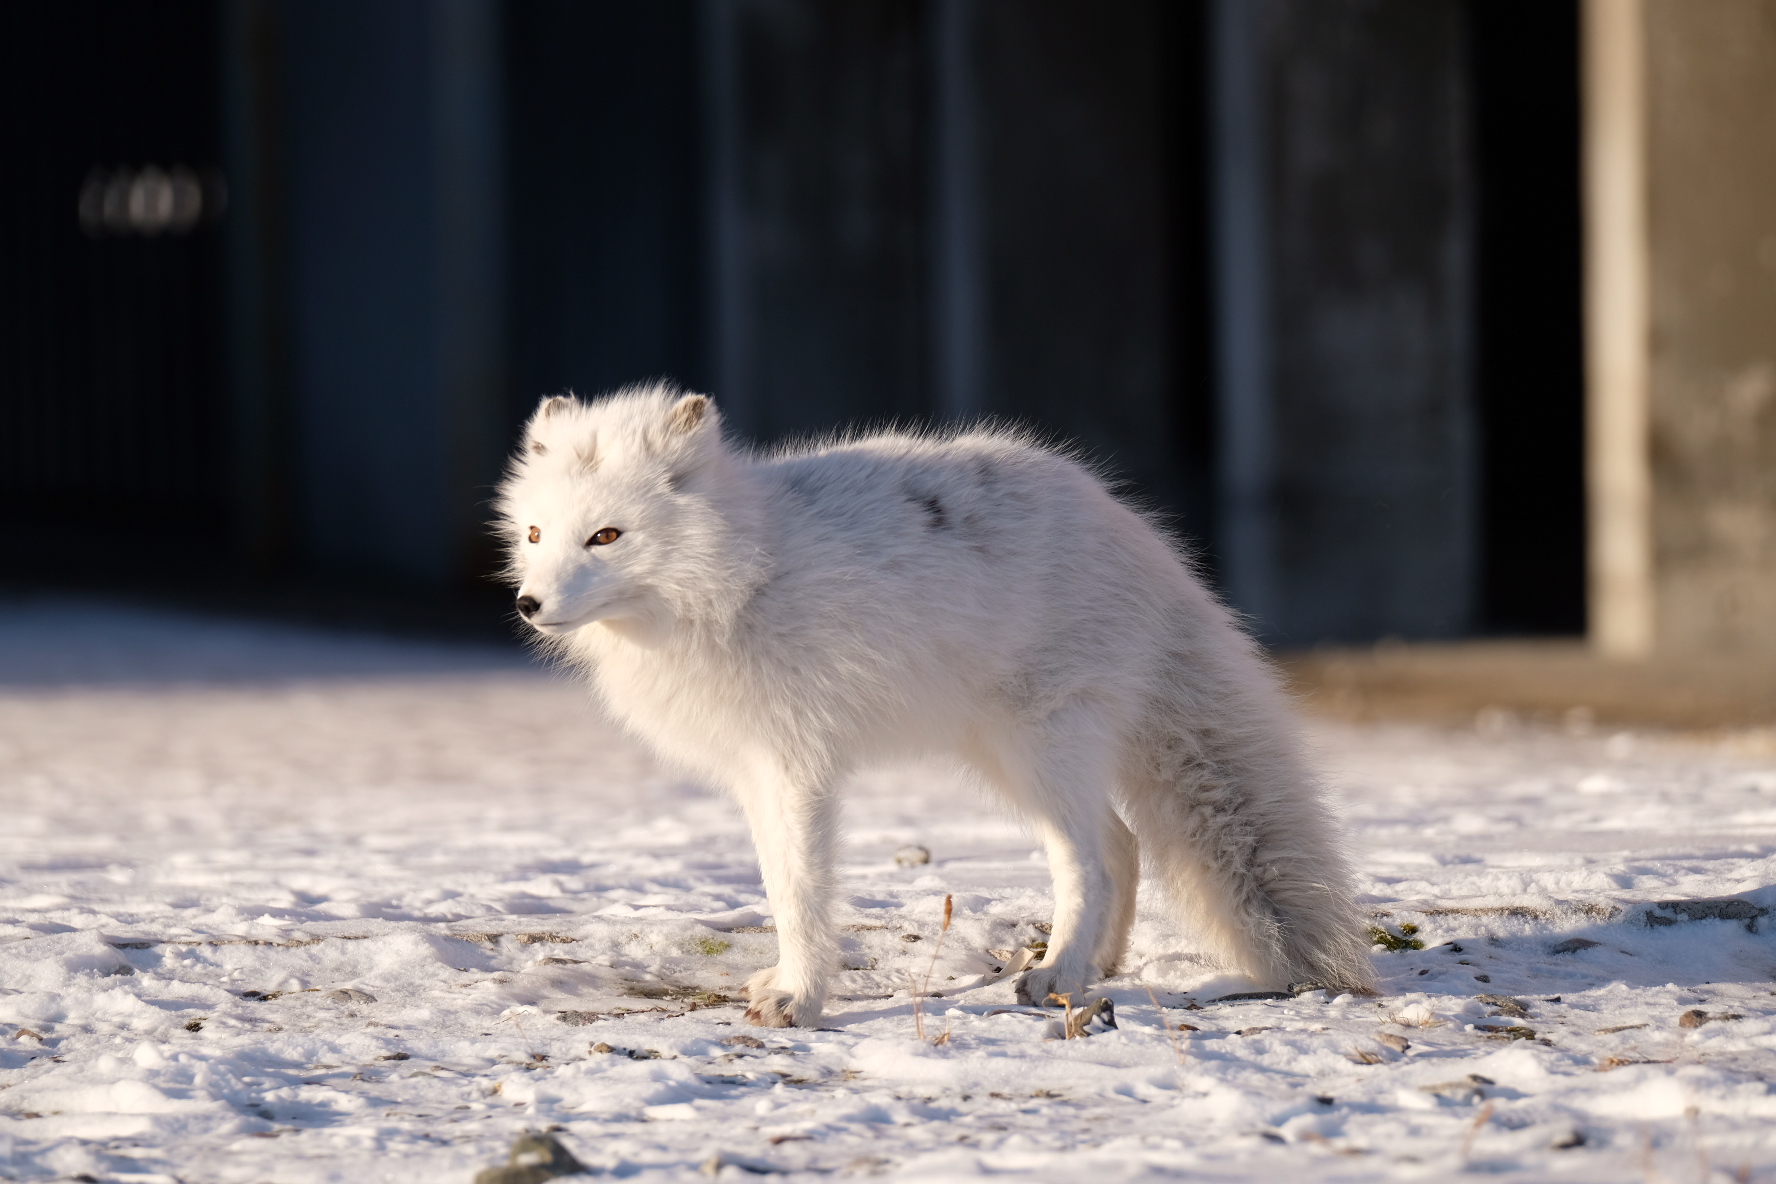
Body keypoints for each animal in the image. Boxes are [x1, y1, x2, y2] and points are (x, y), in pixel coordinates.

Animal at [493, 386, 1378, 1029]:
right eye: (535, 534)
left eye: (607, 537)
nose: (529, 605)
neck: (742, 576)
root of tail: (1145, 542)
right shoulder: (754, 772)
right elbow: (778, 886)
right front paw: (788, 979)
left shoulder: (797, 768)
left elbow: (801, 892)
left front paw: (801, 999)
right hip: (1002, 759)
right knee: (1123, 845)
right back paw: (1094, 967)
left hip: (1036, 750)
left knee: (1092, 858)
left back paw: (1061, 970)